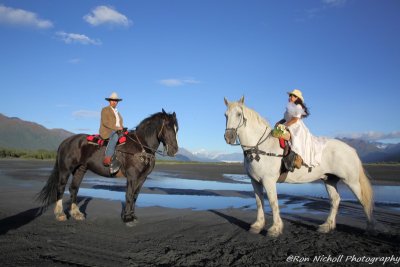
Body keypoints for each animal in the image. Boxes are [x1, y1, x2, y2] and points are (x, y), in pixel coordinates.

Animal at [37, 109, 178, 226]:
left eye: (177, 129)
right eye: (168, 127)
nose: (174, 150)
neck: (141, 147)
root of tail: (66, 141)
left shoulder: (142, 178)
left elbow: (135, 196)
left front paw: (132, 216)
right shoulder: (132, 176)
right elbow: (129, 195)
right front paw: (127, 218)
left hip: (80, 170)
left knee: (74, 189)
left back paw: (77, 213)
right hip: (65, 169)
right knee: (60, 188)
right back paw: (60, 214)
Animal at [223, 97, 374, 238]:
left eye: (238, 114)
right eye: (226, 115)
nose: (228, 137)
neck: (259, 147)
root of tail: (351, 149)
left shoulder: (268, 181)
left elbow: (273, 202)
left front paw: (275, 229)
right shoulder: (255, 181)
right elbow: (259, 202)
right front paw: (258, 225)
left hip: (351, 181)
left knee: (364, 201)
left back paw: (369, 229)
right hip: (329, 180)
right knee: (335, 200)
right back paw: (327, 226)